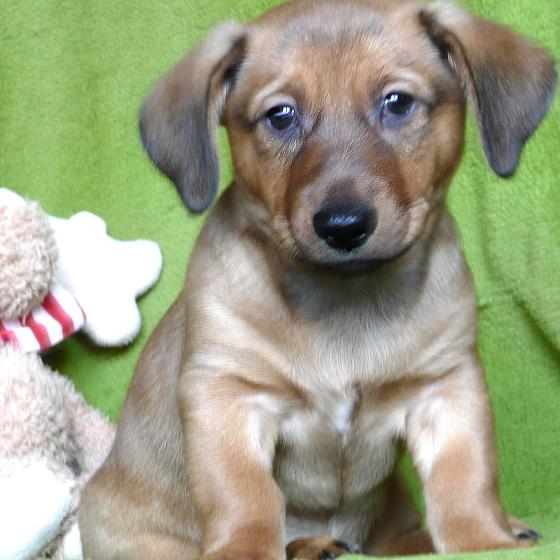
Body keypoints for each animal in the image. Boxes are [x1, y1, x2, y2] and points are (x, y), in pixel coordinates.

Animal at [79, 0, 557, 558]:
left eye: (397, 103)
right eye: (280, 115)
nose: (343, 226)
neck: (345, 301)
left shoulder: (445, 387)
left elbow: (467, 479)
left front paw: (484, 538)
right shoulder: (227, 395)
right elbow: (244, 496)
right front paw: (244, 548)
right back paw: (313, 545)